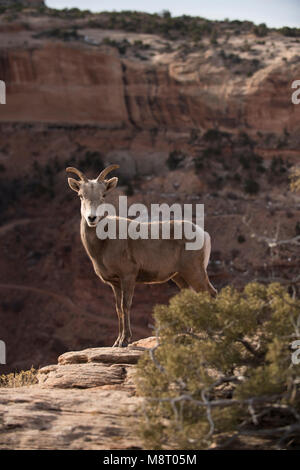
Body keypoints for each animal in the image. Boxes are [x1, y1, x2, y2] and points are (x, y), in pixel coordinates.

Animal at [66, 164, 216, 346]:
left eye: (103, 195)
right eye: (81, 195)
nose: (92, 218)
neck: (104, 243)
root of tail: (204, 234)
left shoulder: (128, 276)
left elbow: (126, 305)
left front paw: (125, 341)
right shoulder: (115, 283)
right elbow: (118, 308)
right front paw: (117, 342)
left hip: (194, 272)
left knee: (211, 293)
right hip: (180, 277)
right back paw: (188, 335)